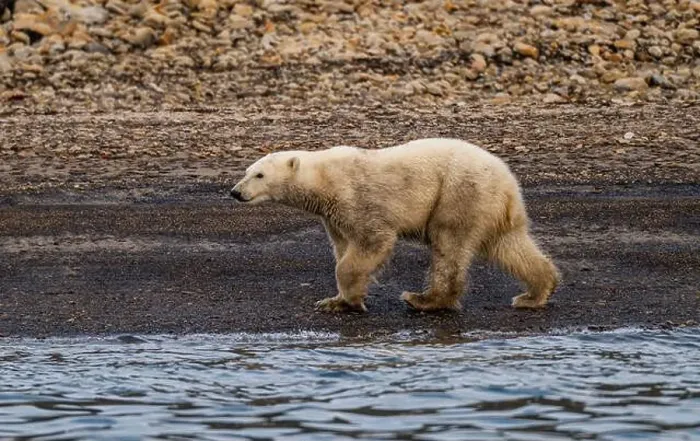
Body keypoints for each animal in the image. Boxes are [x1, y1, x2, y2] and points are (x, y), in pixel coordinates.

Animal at [230, 138, 560, 313]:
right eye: (246, 171)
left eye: (259, 175)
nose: (235, 192)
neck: (324, 179)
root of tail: (509, 183)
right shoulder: (332, 216)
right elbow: (342, 246)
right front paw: (334, 300)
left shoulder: (357, 198)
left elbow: (371, 241)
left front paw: (351, 301)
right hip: (490, 207)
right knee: (510, 246)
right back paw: (533, 294)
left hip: (459, 193)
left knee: (449, 245)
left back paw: (424, 300)